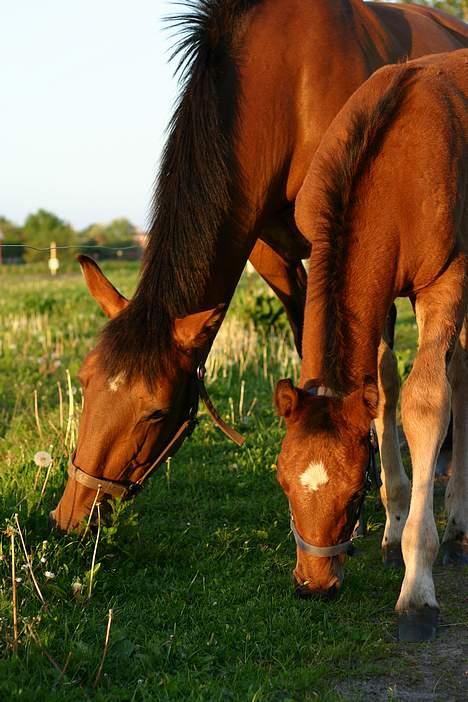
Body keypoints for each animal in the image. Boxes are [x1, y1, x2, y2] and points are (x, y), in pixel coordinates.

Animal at [49, 1, 466, 532]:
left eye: (157, 412)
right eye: (84, 381)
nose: (71, 513)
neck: (291, 81)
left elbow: (382, 372)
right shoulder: (274, 257)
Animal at [274, 49, 468, 644]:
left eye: (352, 494)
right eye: (282, 480)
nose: (314, 585)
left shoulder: (445, 281)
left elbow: (426, 403)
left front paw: (417, 591)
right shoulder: (379, 298)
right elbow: (382, 390)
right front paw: (391, 533)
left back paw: (456, 529)